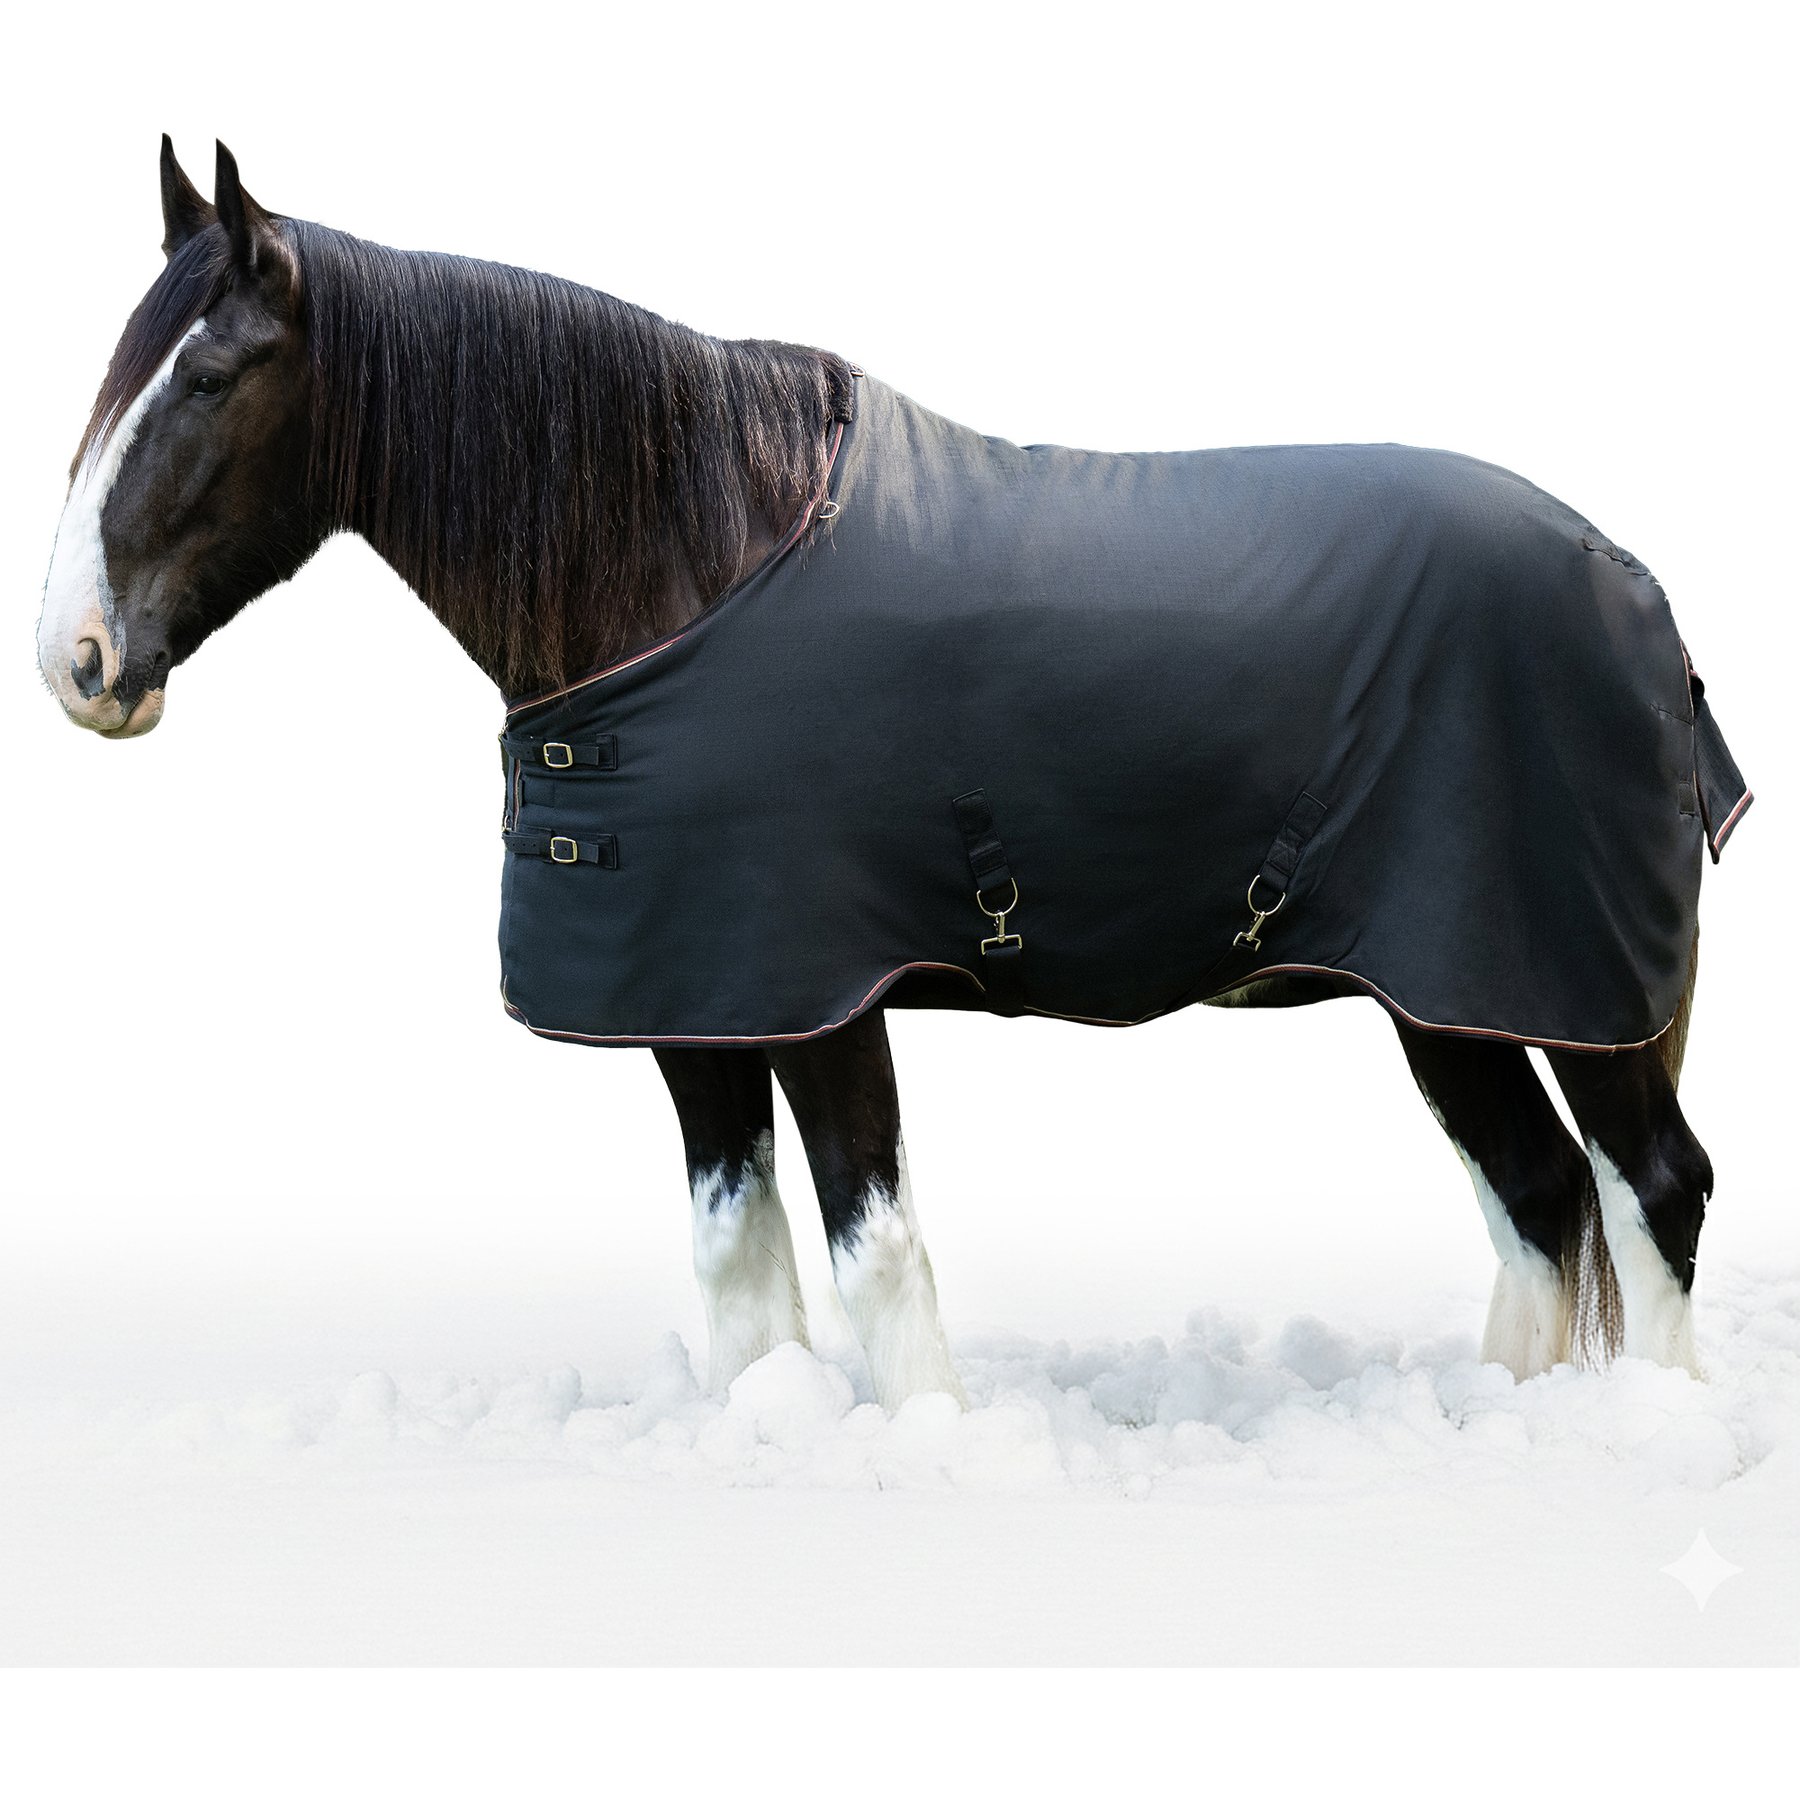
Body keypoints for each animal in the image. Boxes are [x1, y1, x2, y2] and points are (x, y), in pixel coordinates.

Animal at [39, 139, 1749, 1410]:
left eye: (208, 381)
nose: (76, 660)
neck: (696, 556)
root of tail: (1640, 593)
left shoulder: (821, 991)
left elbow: (876, 1249)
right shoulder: (698, 1000)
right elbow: (738, 1251)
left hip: (1557, 982)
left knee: (1653, 1183)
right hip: (1447, 991)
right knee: (1539, 1198)